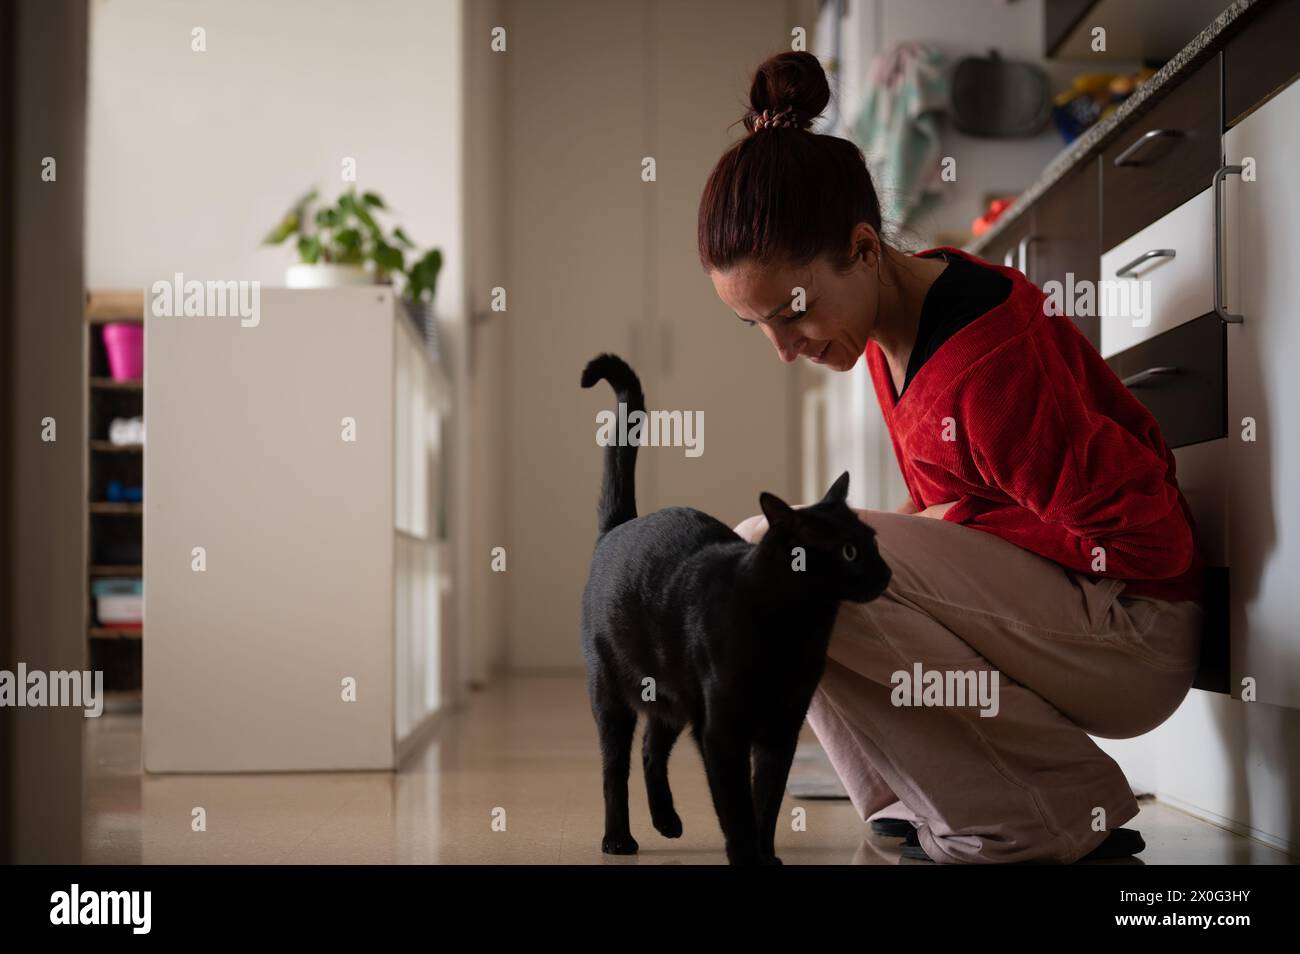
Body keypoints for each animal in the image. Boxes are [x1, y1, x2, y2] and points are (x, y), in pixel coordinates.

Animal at [582, 353, 894, 868]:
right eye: (849, 552)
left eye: (870, 541)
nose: (885, 571)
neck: (797, 629)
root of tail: (620, 526)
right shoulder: (723, 731)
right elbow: (736, 803)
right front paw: (747, 857)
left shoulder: (782, 727)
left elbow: (767, 798)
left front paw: (765, 857)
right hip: (611, 693)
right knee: (614, 767)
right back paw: (618, 840)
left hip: (671, 697)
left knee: (651, 748)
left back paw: (667, 821)